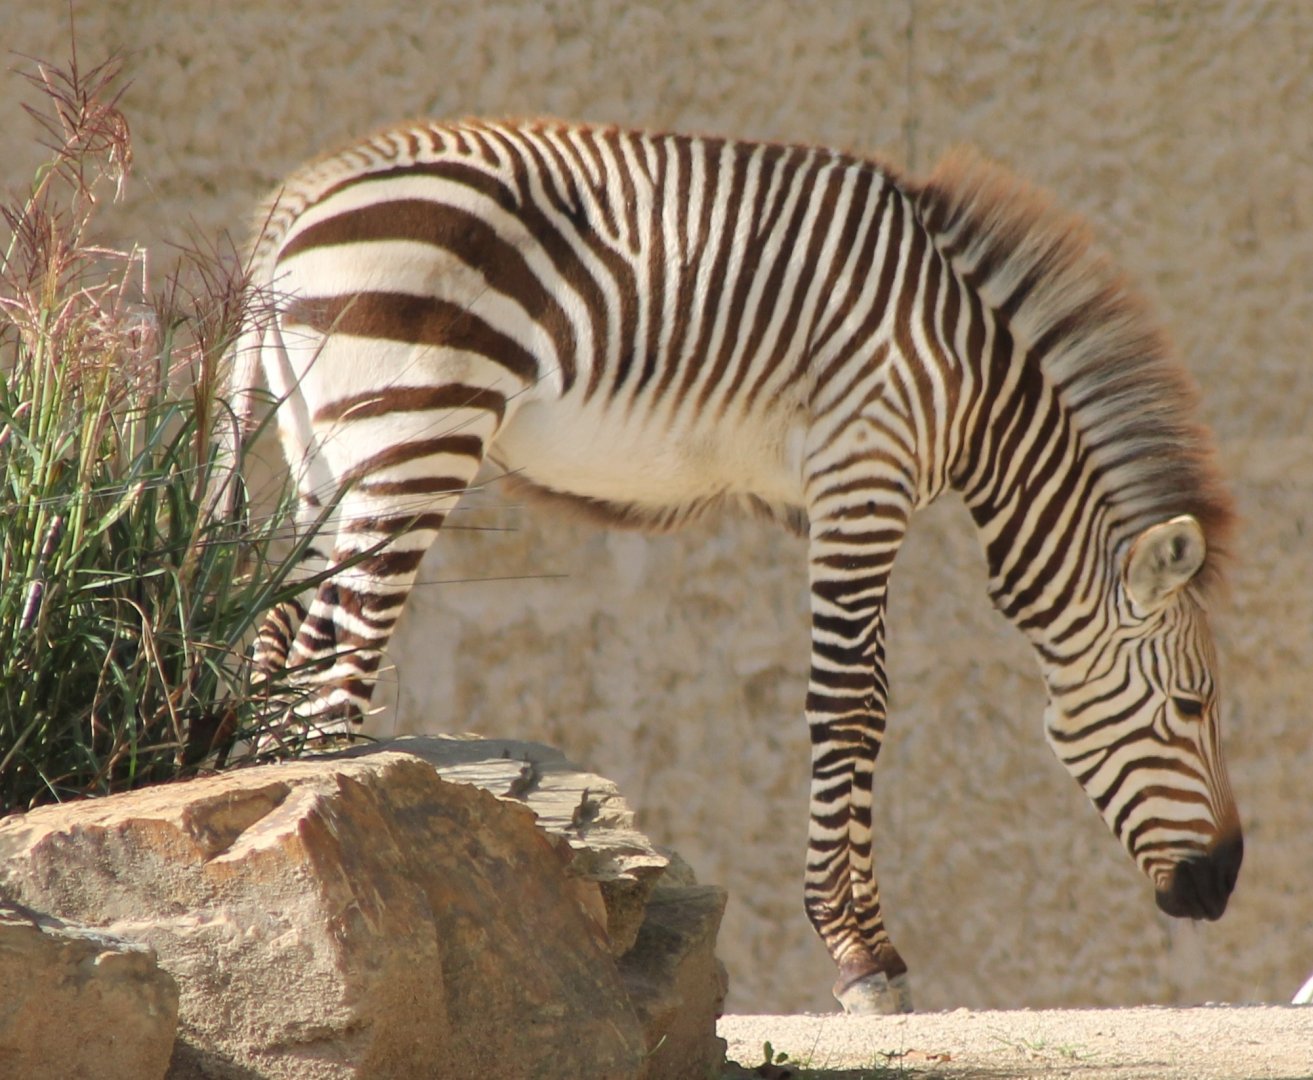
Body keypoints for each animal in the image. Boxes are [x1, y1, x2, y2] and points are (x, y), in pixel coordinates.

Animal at [229, 119, 1243, 1014]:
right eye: (1191, 706)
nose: (1224, 883)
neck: (972, 388)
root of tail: (300, 196)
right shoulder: (861, 471)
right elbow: (852, 704)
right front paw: (857, 955)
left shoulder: (857, 491)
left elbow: (869, 697)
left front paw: (870, 945)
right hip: (417, 433)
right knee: (333, 682)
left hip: (328, 456)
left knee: (284, 652)